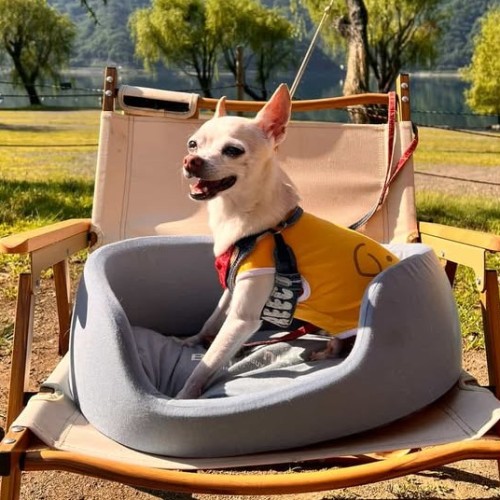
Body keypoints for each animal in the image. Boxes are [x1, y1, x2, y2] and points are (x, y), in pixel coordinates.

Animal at [176, 84, 398, 399]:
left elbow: (209, 360)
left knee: (342, 348)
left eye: (233, 151)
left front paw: (183, 396)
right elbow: (213, 318)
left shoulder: (243, 317)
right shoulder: (232, 289)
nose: (191, 161)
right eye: (192, 144)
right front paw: (194, 339)